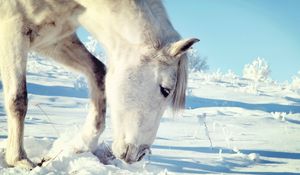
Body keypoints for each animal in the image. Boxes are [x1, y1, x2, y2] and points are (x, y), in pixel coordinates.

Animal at [0, 0, 199, 170]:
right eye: (165, 90)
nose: (140, 154)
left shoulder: (53, 39)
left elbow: (98, 72)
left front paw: (81, 145)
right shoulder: (13, 29)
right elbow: (18, 99)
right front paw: (19, 159)